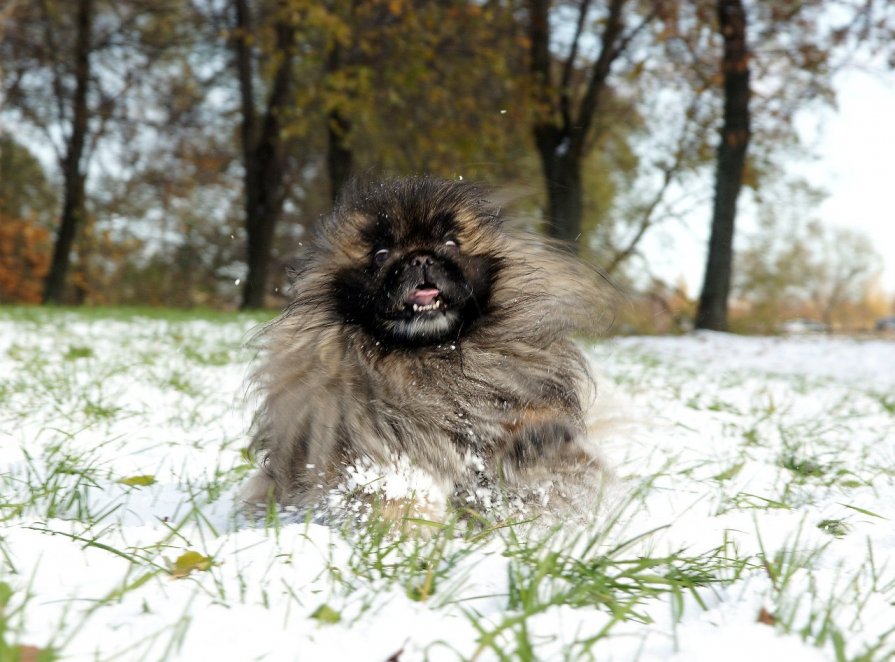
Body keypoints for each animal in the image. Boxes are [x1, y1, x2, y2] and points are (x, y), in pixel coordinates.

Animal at [242, 179, 612, 520]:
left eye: (451, 243)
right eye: (380, 255)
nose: (420, 257)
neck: (430, 354)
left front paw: (535, 444)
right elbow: (389, 486)